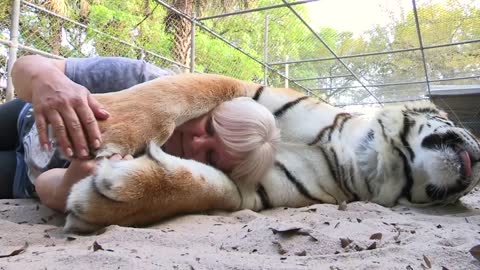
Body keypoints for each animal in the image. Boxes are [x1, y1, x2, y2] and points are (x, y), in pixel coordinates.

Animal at [62, 73, 478, 232]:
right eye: (445, 116)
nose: (478, 159)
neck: (365, 157)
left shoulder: (254, 190)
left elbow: (211, 188)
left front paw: (105, 201)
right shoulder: (247, 88)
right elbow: (177, 92)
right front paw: (108, 126)